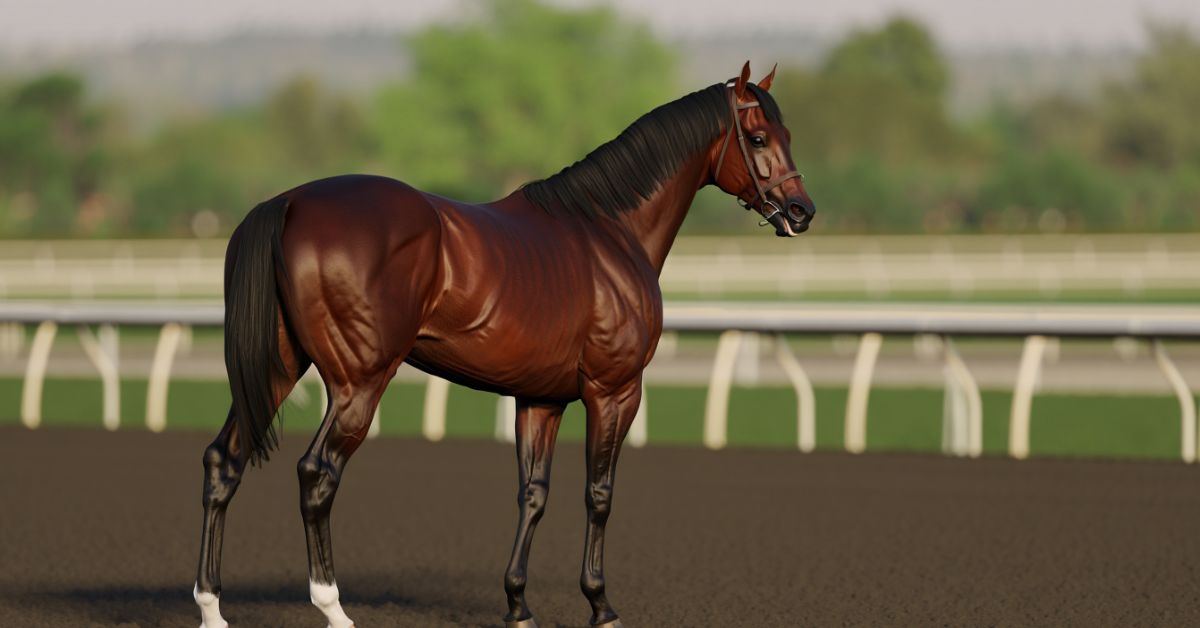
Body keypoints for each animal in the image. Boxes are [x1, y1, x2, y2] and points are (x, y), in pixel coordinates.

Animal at [193, 61, 815, 628]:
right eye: (758, 137)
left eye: (787, 134)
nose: (801, 211)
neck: (608, 232)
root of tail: (290, 205)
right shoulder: (614, 392)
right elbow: (599, 493)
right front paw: (601, 606)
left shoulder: (541, 400)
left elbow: (533, 493)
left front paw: (518, 606)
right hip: (358, 383)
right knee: (316, 473)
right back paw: (333, 608)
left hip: (279, 367)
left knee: (224, 460)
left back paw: (211, 607)